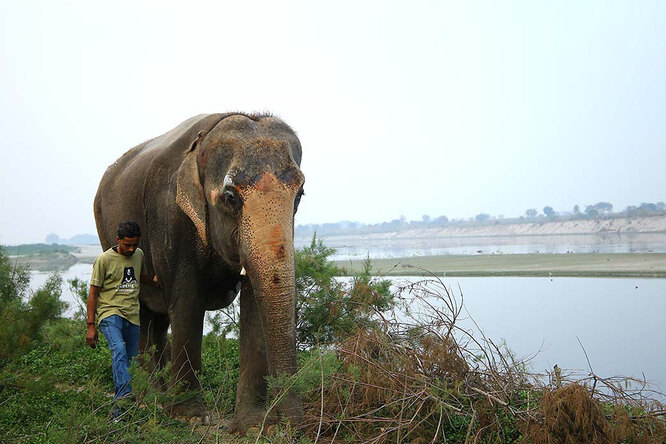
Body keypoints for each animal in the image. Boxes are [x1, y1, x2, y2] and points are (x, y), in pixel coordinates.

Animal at [94, 112, 306, 432]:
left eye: (300, 195)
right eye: (230, 197)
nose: (287, 426)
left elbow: (255, 303)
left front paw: (252, 426)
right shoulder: (170, 217)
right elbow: (187, 301)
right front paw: (190, 417)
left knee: (157, 320)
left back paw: (158, 398)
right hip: (106, 231)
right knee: (141, 314)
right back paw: (147, 400)